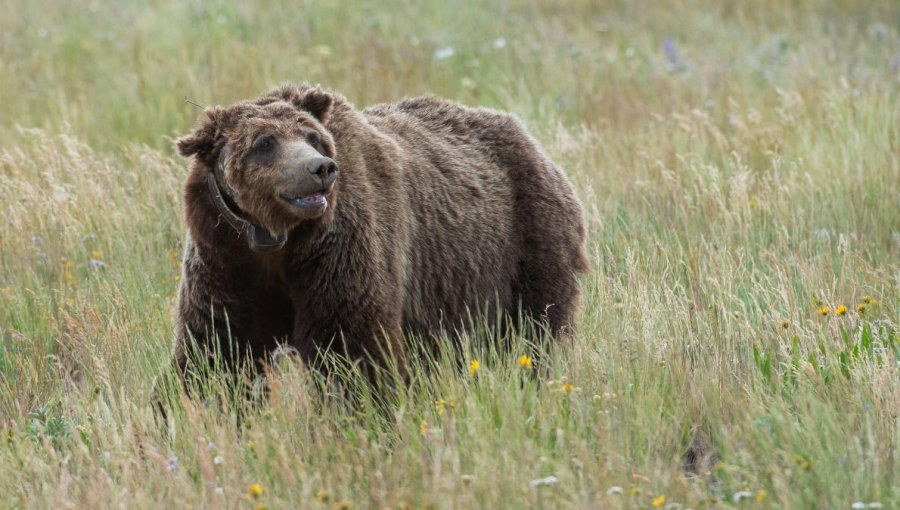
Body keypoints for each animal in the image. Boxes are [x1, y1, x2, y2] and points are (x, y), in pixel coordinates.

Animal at [174, 83, 592, 386]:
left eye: (312, 137)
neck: (278, 239)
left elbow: (352, 346)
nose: (320, 168)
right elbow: (216, 350)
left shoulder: (338, 253)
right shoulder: (227, 261)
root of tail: (534, 144)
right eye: (264, 143)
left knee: (536, 329)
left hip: (526, 242)